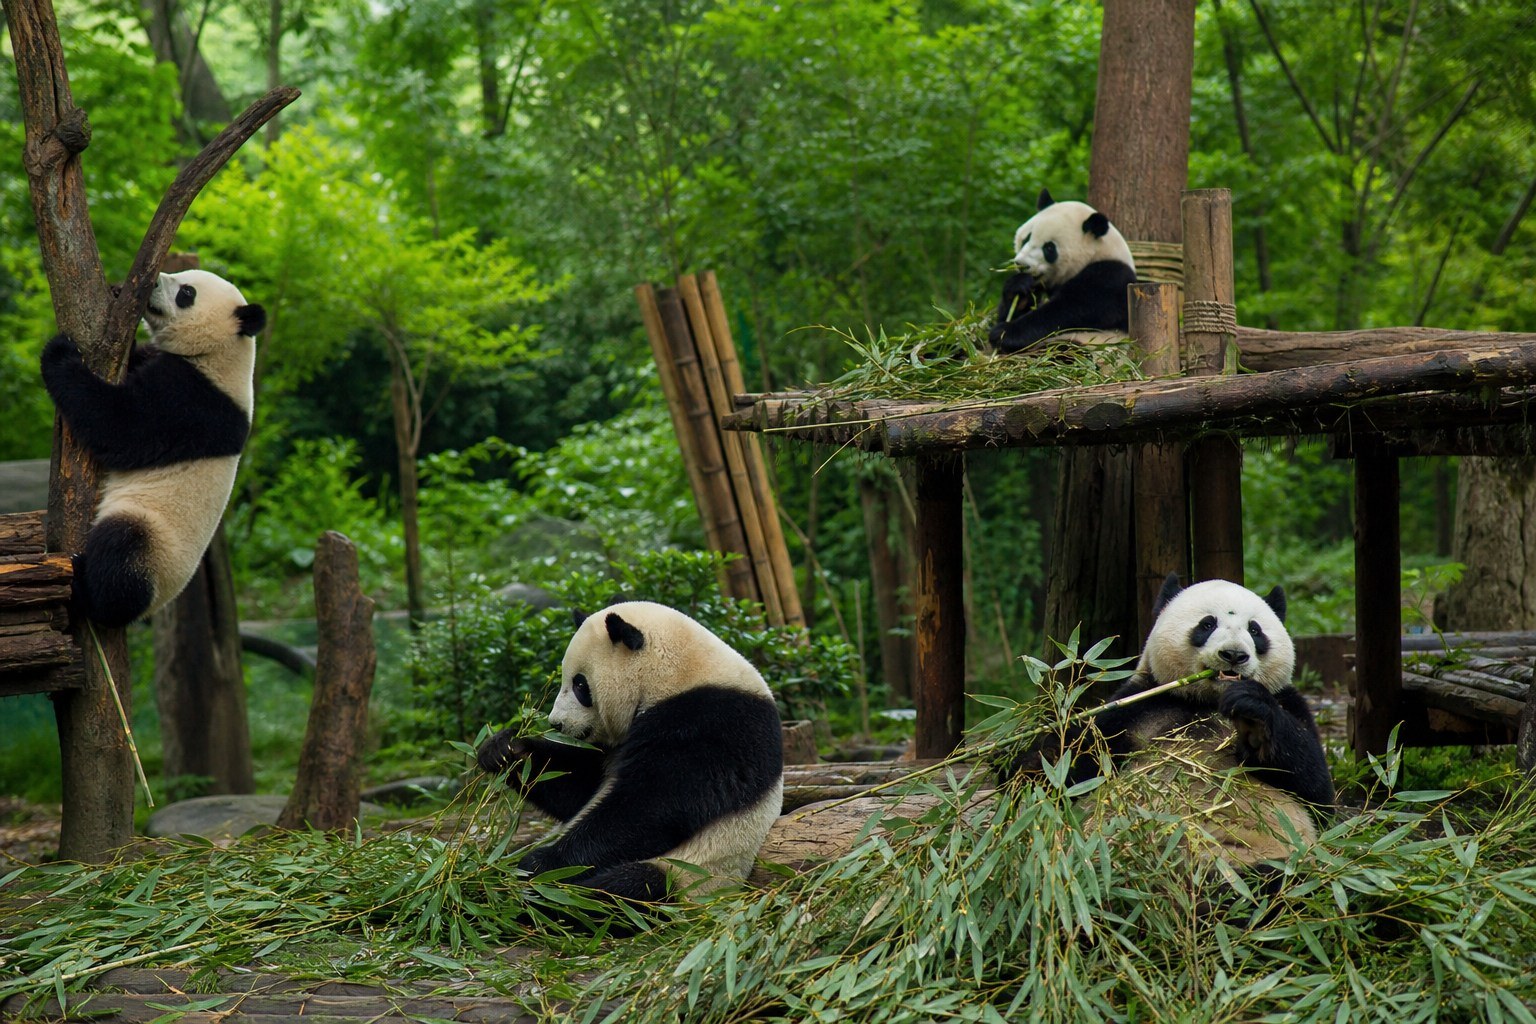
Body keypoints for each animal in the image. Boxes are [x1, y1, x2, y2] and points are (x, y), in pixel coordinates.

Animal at [40, 269, 264, 628]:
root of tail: (154, 607)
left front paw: (59, 354)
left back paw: (87, 592)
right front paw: (119, 294)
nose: (154, 281)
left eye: (187, 292)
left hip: (155, 543)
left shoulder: (193, 404)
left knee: (123, 551)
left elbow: (119, 425)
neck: (219, 354)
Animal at [477, 601, 784, 905]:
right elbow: (577, 785)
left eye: (579, 685)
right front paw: (503, 749)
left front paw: (541, 862)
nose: (556, 724)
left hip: (691, 873)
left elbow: (651, 806)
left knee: (619, 892)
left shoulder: (711, 722)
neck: (677, 673)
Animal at [988, 188, 1137, 354]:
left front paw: (1002, 333)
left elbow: (1071, 309)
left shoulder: (1110, 278)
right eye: (1026, 238)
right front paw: (1018, 287)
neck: (1097, 254)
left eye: (1049, 248)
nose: (1021, 264)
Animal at [1017, 574, 1334, 869]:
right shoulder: (1139, 707)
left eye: (1255, 630)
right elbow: (1073, 763)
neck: (1207, 700)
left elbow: (1316, 790)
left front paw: (1253, 718)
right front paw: (1028, 771)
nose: (1233, 655)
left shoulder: (1288, 701)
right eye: (1207, 625)